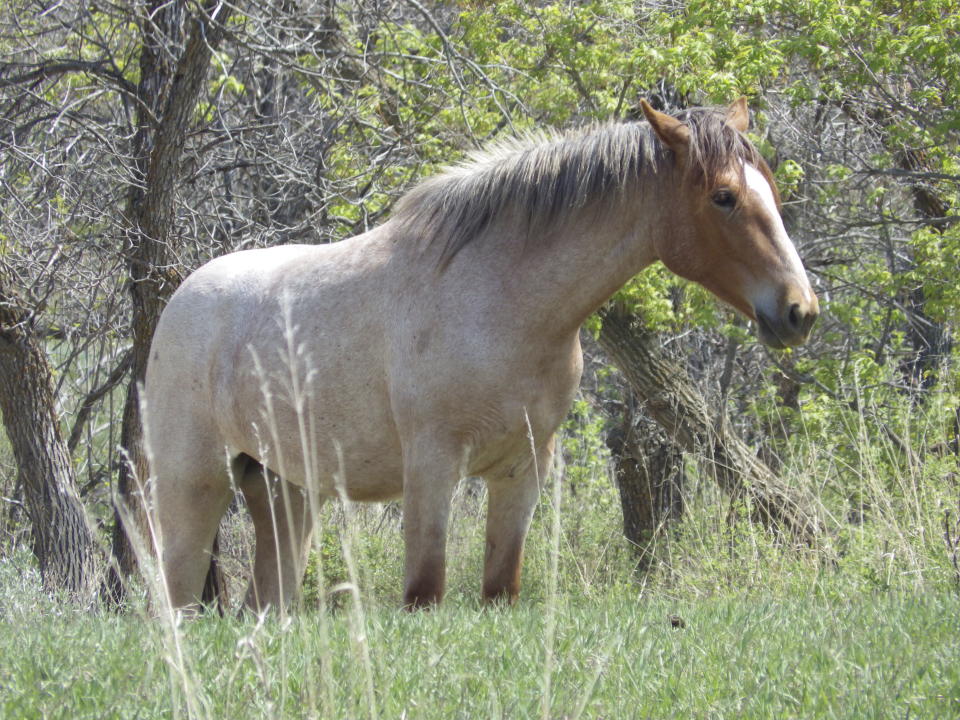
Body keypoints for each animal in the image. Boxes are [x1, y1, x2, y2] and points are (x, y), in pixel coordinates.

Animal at [144, 98, 816, 612]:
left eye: (772, 191)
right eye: (724, 196)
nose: (799, 310)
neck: (502, 300)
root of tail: (182, 296)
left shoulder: (522, 470)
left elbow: (500, 590)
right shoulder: (433, 467)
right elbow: (425, 593)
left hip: (286, 496)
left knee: (264, 604)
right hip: (192, 490)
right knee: (177, 603)